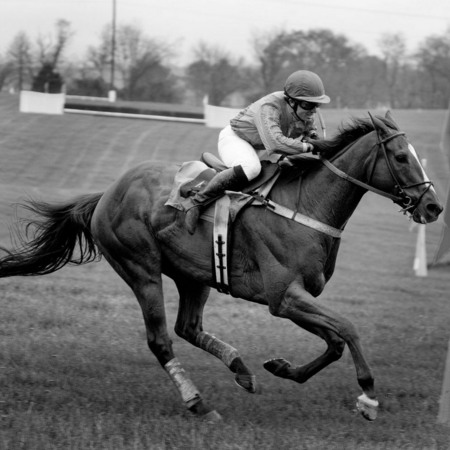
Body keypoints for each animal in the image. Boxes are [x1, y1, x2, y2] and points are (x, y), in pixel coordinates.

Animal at [0, 110, 442, 422]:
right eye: (400, 157)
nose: (433, 207)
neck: (304, 207)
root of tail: (107, 193)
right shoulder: (284, 297)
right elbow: (348, 328)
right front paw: (368, 397)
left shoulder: (294, 299)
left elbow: (333, 343)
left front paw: (281, 367)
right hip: (140, 269)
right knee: (161, 340)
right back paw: (198, 403)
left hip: (195, 275)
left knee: (188, 327)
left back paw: (240, 368)